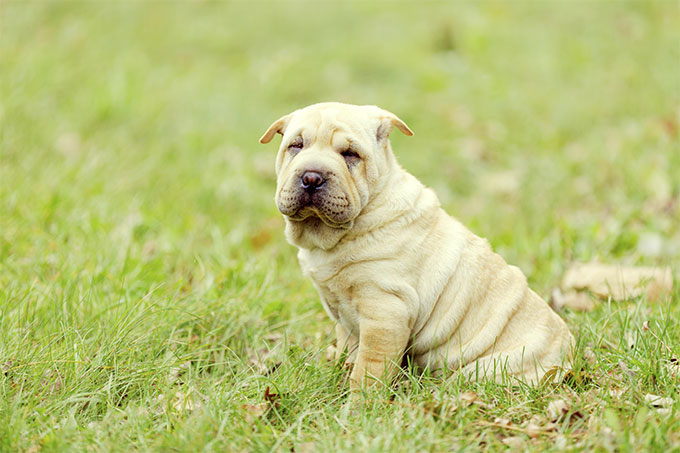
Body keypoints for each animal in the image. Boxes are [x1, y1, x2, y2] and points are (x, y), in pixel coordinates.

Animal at [260, 101, 572, 388]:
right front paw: (337, 373)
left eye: (350, 154)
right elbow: (348, 348)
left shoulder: (386, 310)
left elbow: (370, 368)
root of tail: (568, 360)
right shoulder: (346, 317)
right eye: (296, 146)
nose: (311, 177)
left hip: (484, 369)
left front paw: (360, 403)